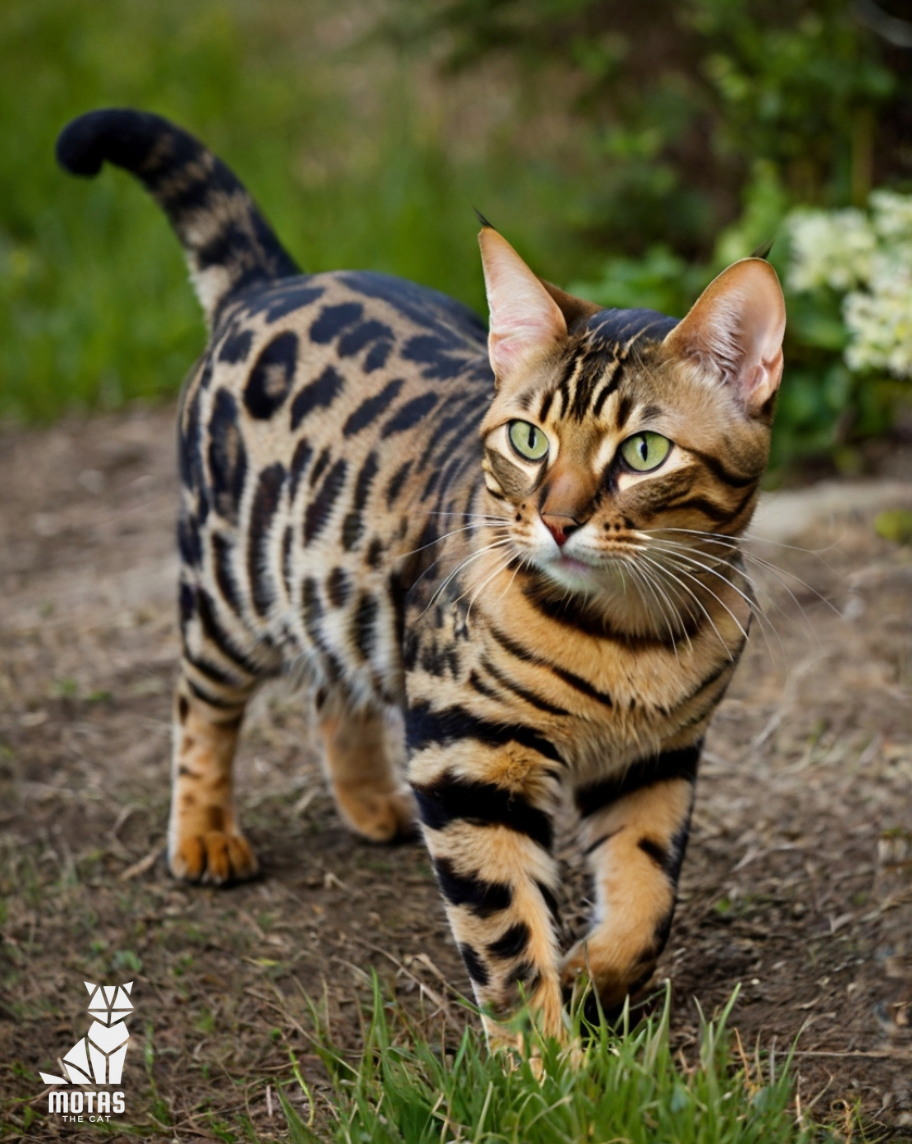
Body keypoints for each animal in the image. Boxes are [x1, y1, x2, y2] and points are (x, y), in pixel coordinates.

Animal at [56, 109, 782, 1047]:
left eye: (644, 453)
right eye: (528, 440)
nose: (557, 519)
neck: (631, 630)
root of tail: (274, 281)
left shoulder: (656, 759)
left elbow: (645, 900)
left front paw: (594, 977)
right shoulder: (469, 754)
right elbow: (507, 935)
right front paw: (549, 1066)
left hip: (343, 586)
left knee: (334, 687)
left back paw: (373, 803)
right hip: (233, 585)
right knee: (200, 702)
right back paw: (206, 834)